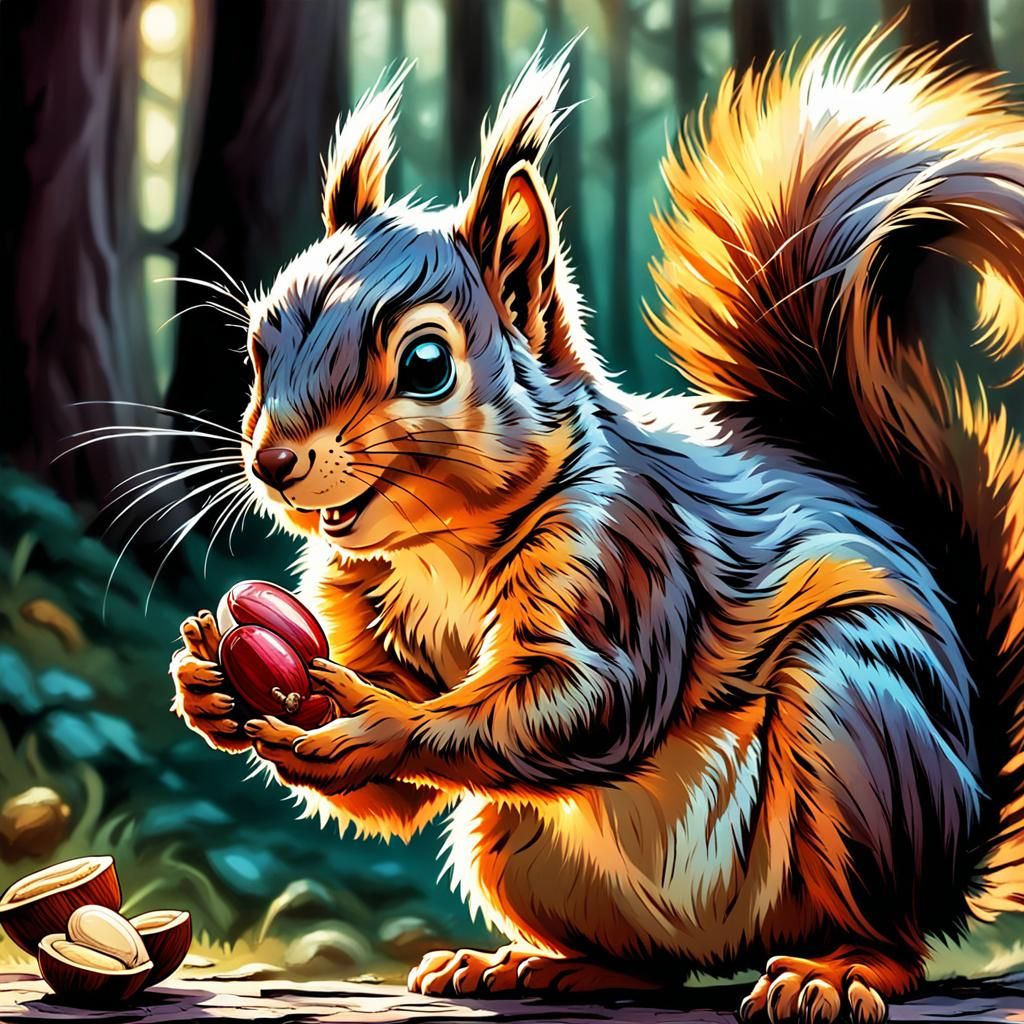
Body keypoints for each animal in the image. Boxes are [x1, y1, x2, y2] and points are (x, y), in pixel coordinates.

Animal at [170, 26, 1024, 1022]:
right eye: (258, 345)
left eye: (426, 363)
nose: (273, 461)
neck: (438, 548)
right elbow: (392, 798)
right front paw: (208, 683)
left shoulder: (626, 554)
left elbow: (591, 700)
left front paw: (373, 723)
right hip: (514, 846)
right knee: (647, 965)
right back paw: (531, 967)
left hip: (859, 737)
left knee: (892, 936)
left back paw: (841, 972)